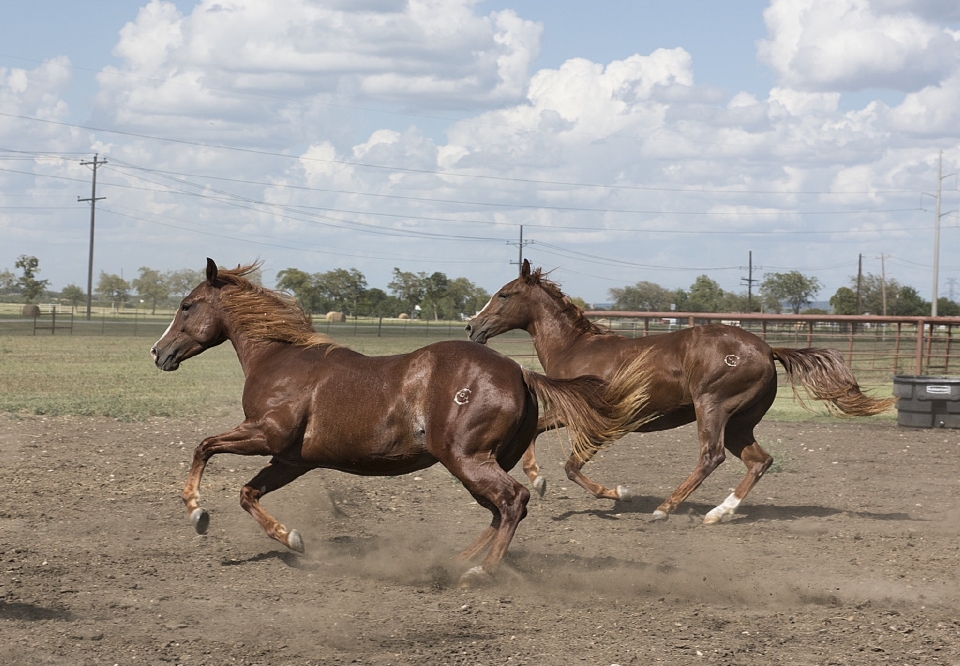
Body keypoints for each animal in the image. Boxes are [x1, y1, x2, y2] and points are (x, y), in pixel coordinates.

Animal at [152, 256, 644, 584]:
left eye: (187, 305)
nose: (158, 352)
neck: (279, 360)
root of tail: (521, 372)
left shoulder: (266, 435)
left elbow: (203, 447)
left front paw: (197, 511)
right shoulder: (293, 459)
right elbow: (247, 492)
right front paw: (291, 538)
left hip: (467, 459)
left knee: (513, 500)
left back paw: (480, 572)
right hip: (476, 463)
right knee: (501, 509)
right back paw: (457, 559)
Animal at [464, 260, 892, 524]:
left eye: (503, 294)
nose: (472, 327)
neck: (576, 348)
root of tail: (767, 348)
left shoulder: (599, 419)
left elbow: (573, 466)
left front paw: (620, 493)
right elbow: (539, 432)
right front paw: (538, 480)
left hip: (713, 407)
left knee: (711, 456)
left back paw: (666, 508)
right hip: (740, 423)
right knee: (759, 460)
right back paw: (719, 513)